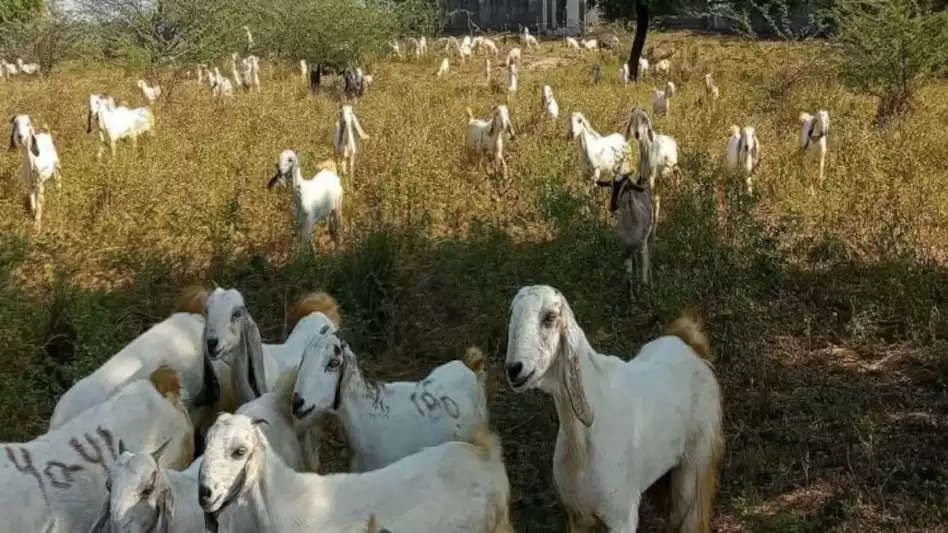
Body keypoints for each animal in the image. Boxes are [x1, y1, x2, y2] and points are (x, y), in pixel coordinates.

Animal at [508, 286, 724, 532]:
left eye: (550, 317)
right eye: (512, 314)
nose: (514, 369)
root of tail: (691, 344)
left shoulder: (622, 516)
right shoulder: (578, 516)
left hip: (696, 462)